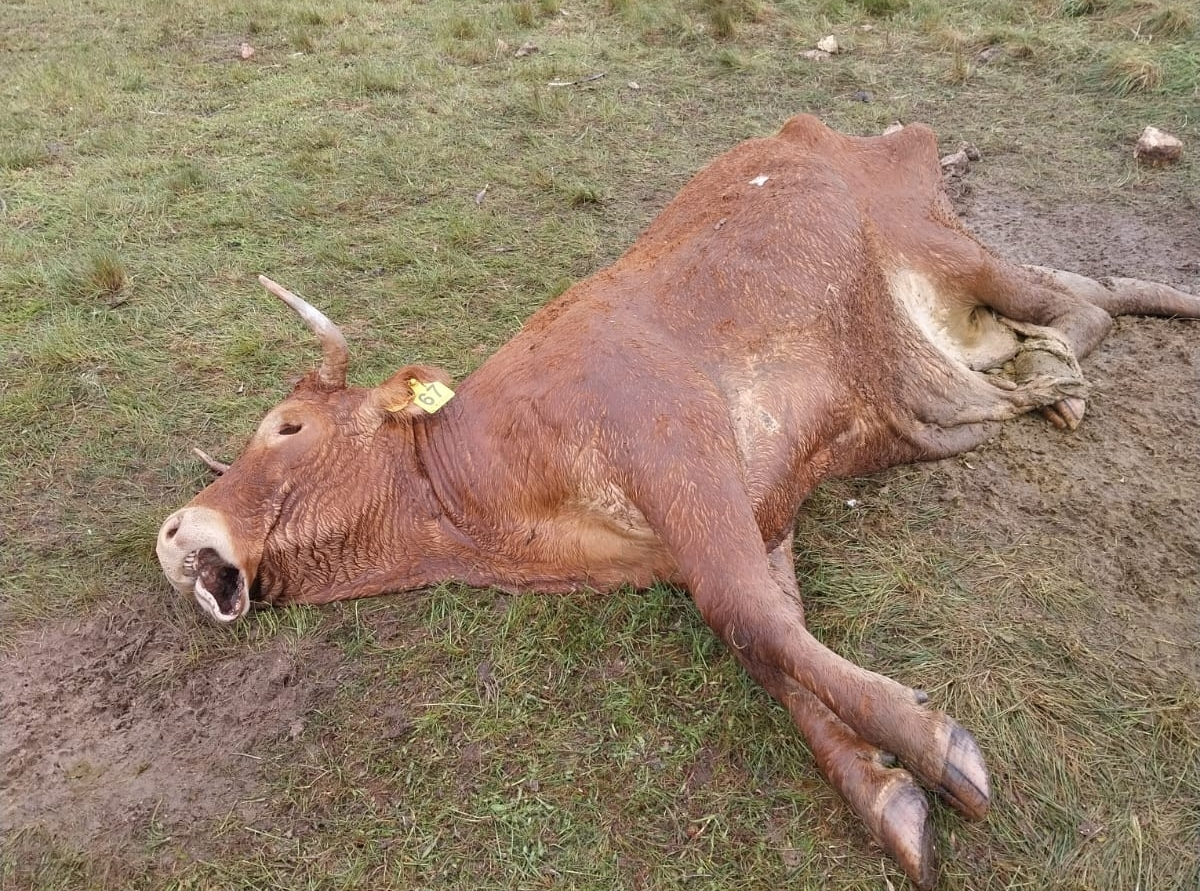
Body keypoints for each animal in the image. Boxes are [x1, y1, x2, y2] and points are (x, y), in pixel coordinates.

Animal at [156, 115, 1199, 888]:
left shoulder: (672, 439)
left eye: (287, 426)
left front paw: (931, 745)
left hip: (941, 244)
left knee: (1079, 305)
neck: (484, 501)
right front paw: (883, 786)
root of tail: (853, 130)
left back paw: (1059, 373)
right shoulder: (755, 510)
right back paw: (1051, 370)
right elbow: (772, 641)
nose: (173, 530)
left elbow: (746, 618)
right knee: (1083, 295)